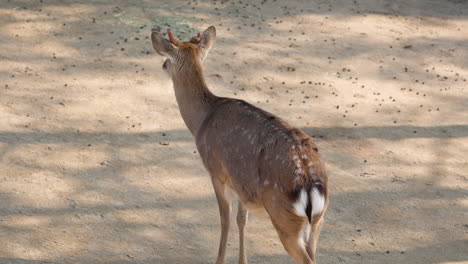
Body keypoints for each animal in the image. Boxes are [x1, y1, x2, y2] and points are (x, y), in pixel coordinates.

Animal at [152, 25, 328, 264]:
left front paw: (219, 260)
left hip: (285, 219)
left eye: (169, 57)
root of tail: (311, 183)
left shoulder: (216, 171)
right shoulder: (242, 185)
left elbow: (224, 219)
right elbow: (241, 219)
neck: (201, 121)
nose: (162, 65)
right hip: (318, 220)